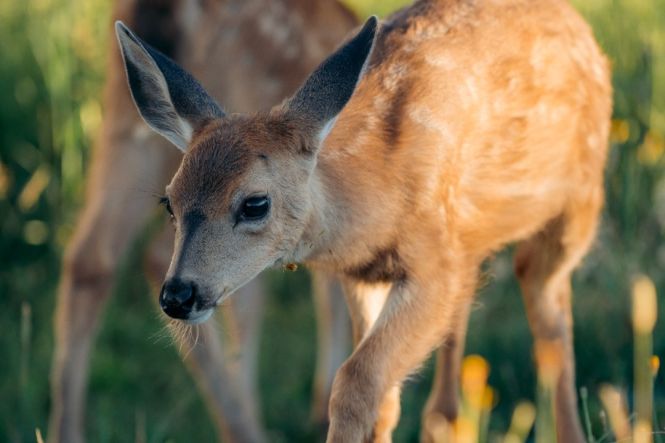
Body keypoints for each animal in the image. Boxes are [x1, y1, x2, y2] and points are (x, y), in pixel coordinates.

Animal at [114, 0, 612, 440]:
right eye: (170, 202)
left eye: (255, 203)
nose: (178, 295)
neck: (379, 194)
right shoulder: (362, 276)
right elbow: (385, 402)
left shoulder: (436, 262)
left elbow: (357, 382)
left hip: (577, 205)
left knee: (544, 299)